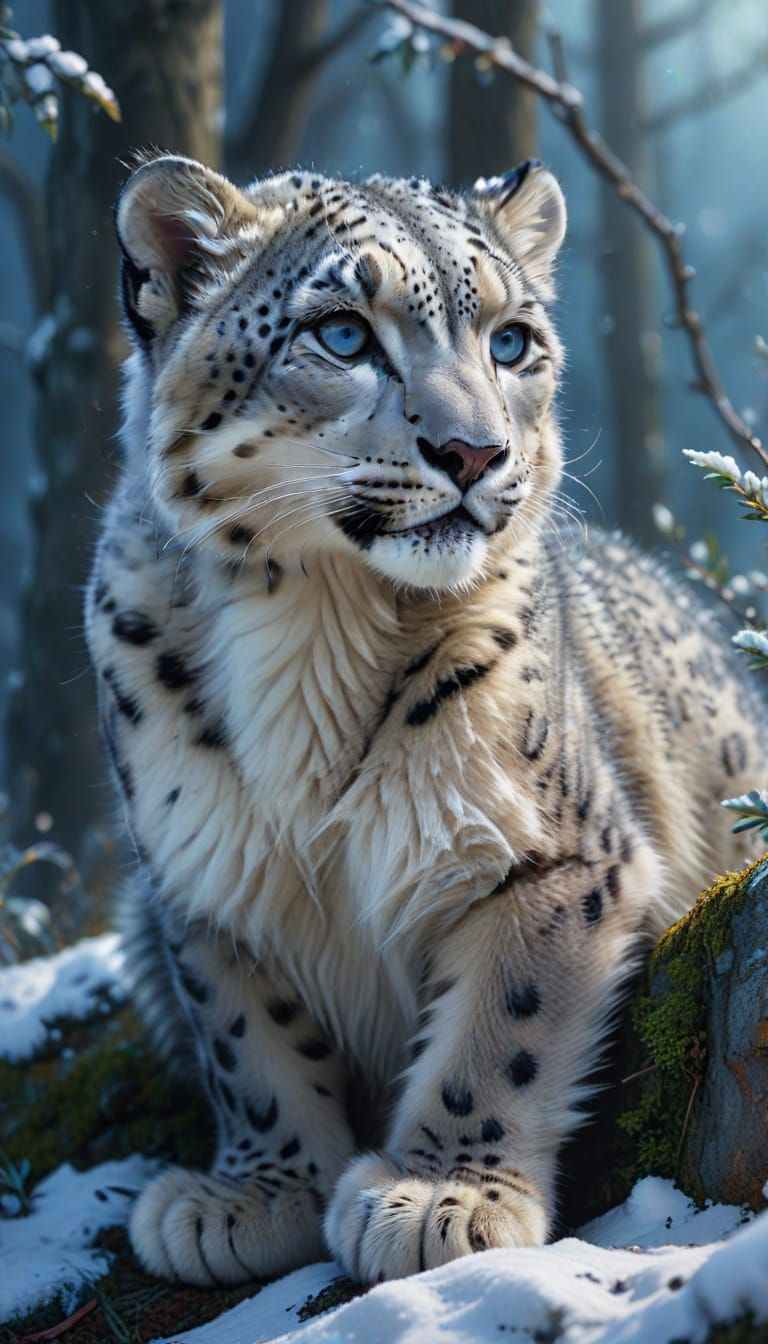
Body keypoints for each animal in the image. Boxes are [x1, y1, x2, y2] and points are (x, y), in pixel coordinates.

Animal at [86, 151, 766, 1288]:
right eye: (342, 334)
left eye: (512, 341)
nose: (475, 452)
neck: (314, 619)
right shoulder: (201, 877)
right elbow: (247, 1038)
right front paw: (257, 1195)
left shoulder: (552, 847)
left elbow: (507, 1016)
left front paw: (444, 1194)